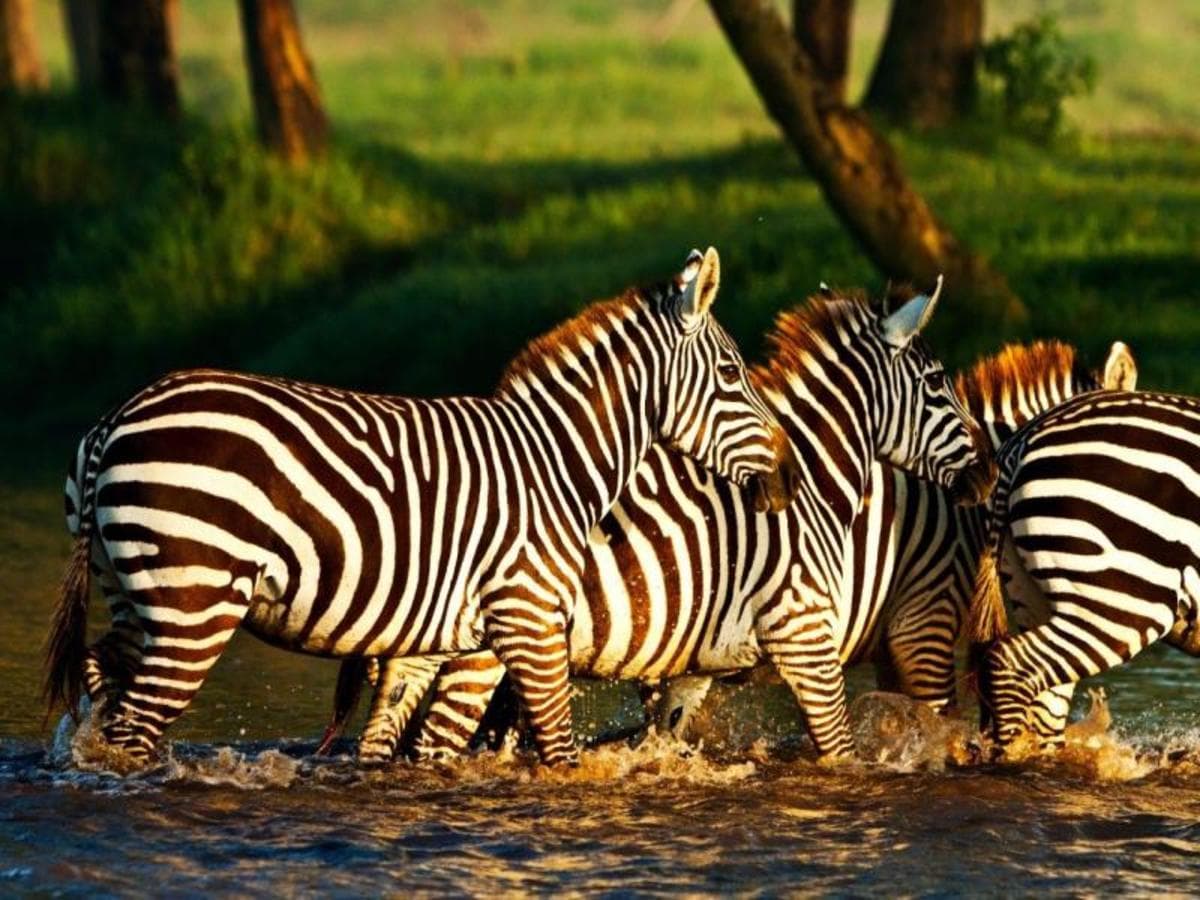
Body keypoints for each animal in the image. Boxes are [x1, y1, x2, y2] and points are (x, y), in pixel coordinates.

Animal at [44, 247, 799, 768]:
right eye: (733, 374)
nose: (788, 476)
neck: (557, 461)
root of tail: (117, 416)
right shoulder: (528, 617)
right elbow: (556, 749)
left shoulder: (444, 635)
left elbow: (412, 743)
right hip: (194, 605)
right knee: (134, 731)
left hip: (135, 595)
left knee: (101, 684)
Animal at [321, 278, 997, 764]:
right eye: (938, 382)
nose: (990, 472)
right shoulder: (813, 634)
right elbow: (842, 749)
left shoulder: (697, 664)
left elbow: (664, 736)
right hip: (484, 646)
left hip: (424, 639)